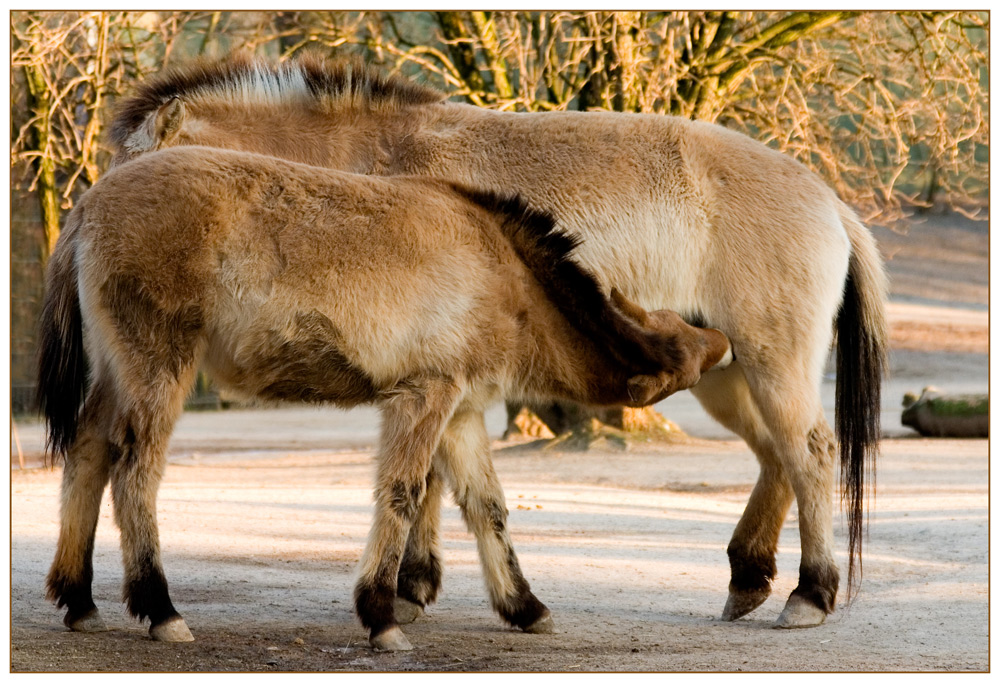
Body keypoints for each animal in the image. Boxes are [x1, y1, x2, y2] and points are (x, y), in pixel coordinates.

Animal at [39, 146, 732, 652]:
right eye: (683, 347)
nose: (723, 339)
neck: (500, 270)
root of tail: (90, 204)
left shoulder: (462, 413)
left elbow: (487, 508)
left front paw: (524, 606)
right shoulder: (424, 397)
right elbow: (401, 493)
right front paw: (381, 615)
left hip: (117, 377)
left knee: (88, 454)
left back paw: (79, 599)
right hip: (157, 371)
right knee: (135, 472)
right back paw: (159, 609)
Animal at [111, 54, 892, 632]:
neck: (371, 161)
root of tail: (829, 201)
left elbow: (424, 477)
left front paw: (406, 590)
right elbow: (438, 477)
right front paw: (417, 584)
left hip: (770, 363)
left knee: (808, 454)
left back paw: (809, 595)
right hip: (727, 374)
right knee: (775, 456)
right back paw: (748, 578)